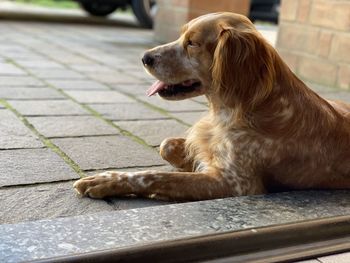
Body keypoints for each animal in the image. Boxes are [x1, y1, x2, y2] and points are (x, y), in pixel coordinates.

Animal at [73, 12, 350, 201]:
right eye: (181, 36)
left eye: (192, 43)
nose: (145, 57)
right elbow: (166, 145)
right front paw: (190, 162)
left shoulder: (237, 183)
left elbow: (154, 176)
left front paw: (107, 180)